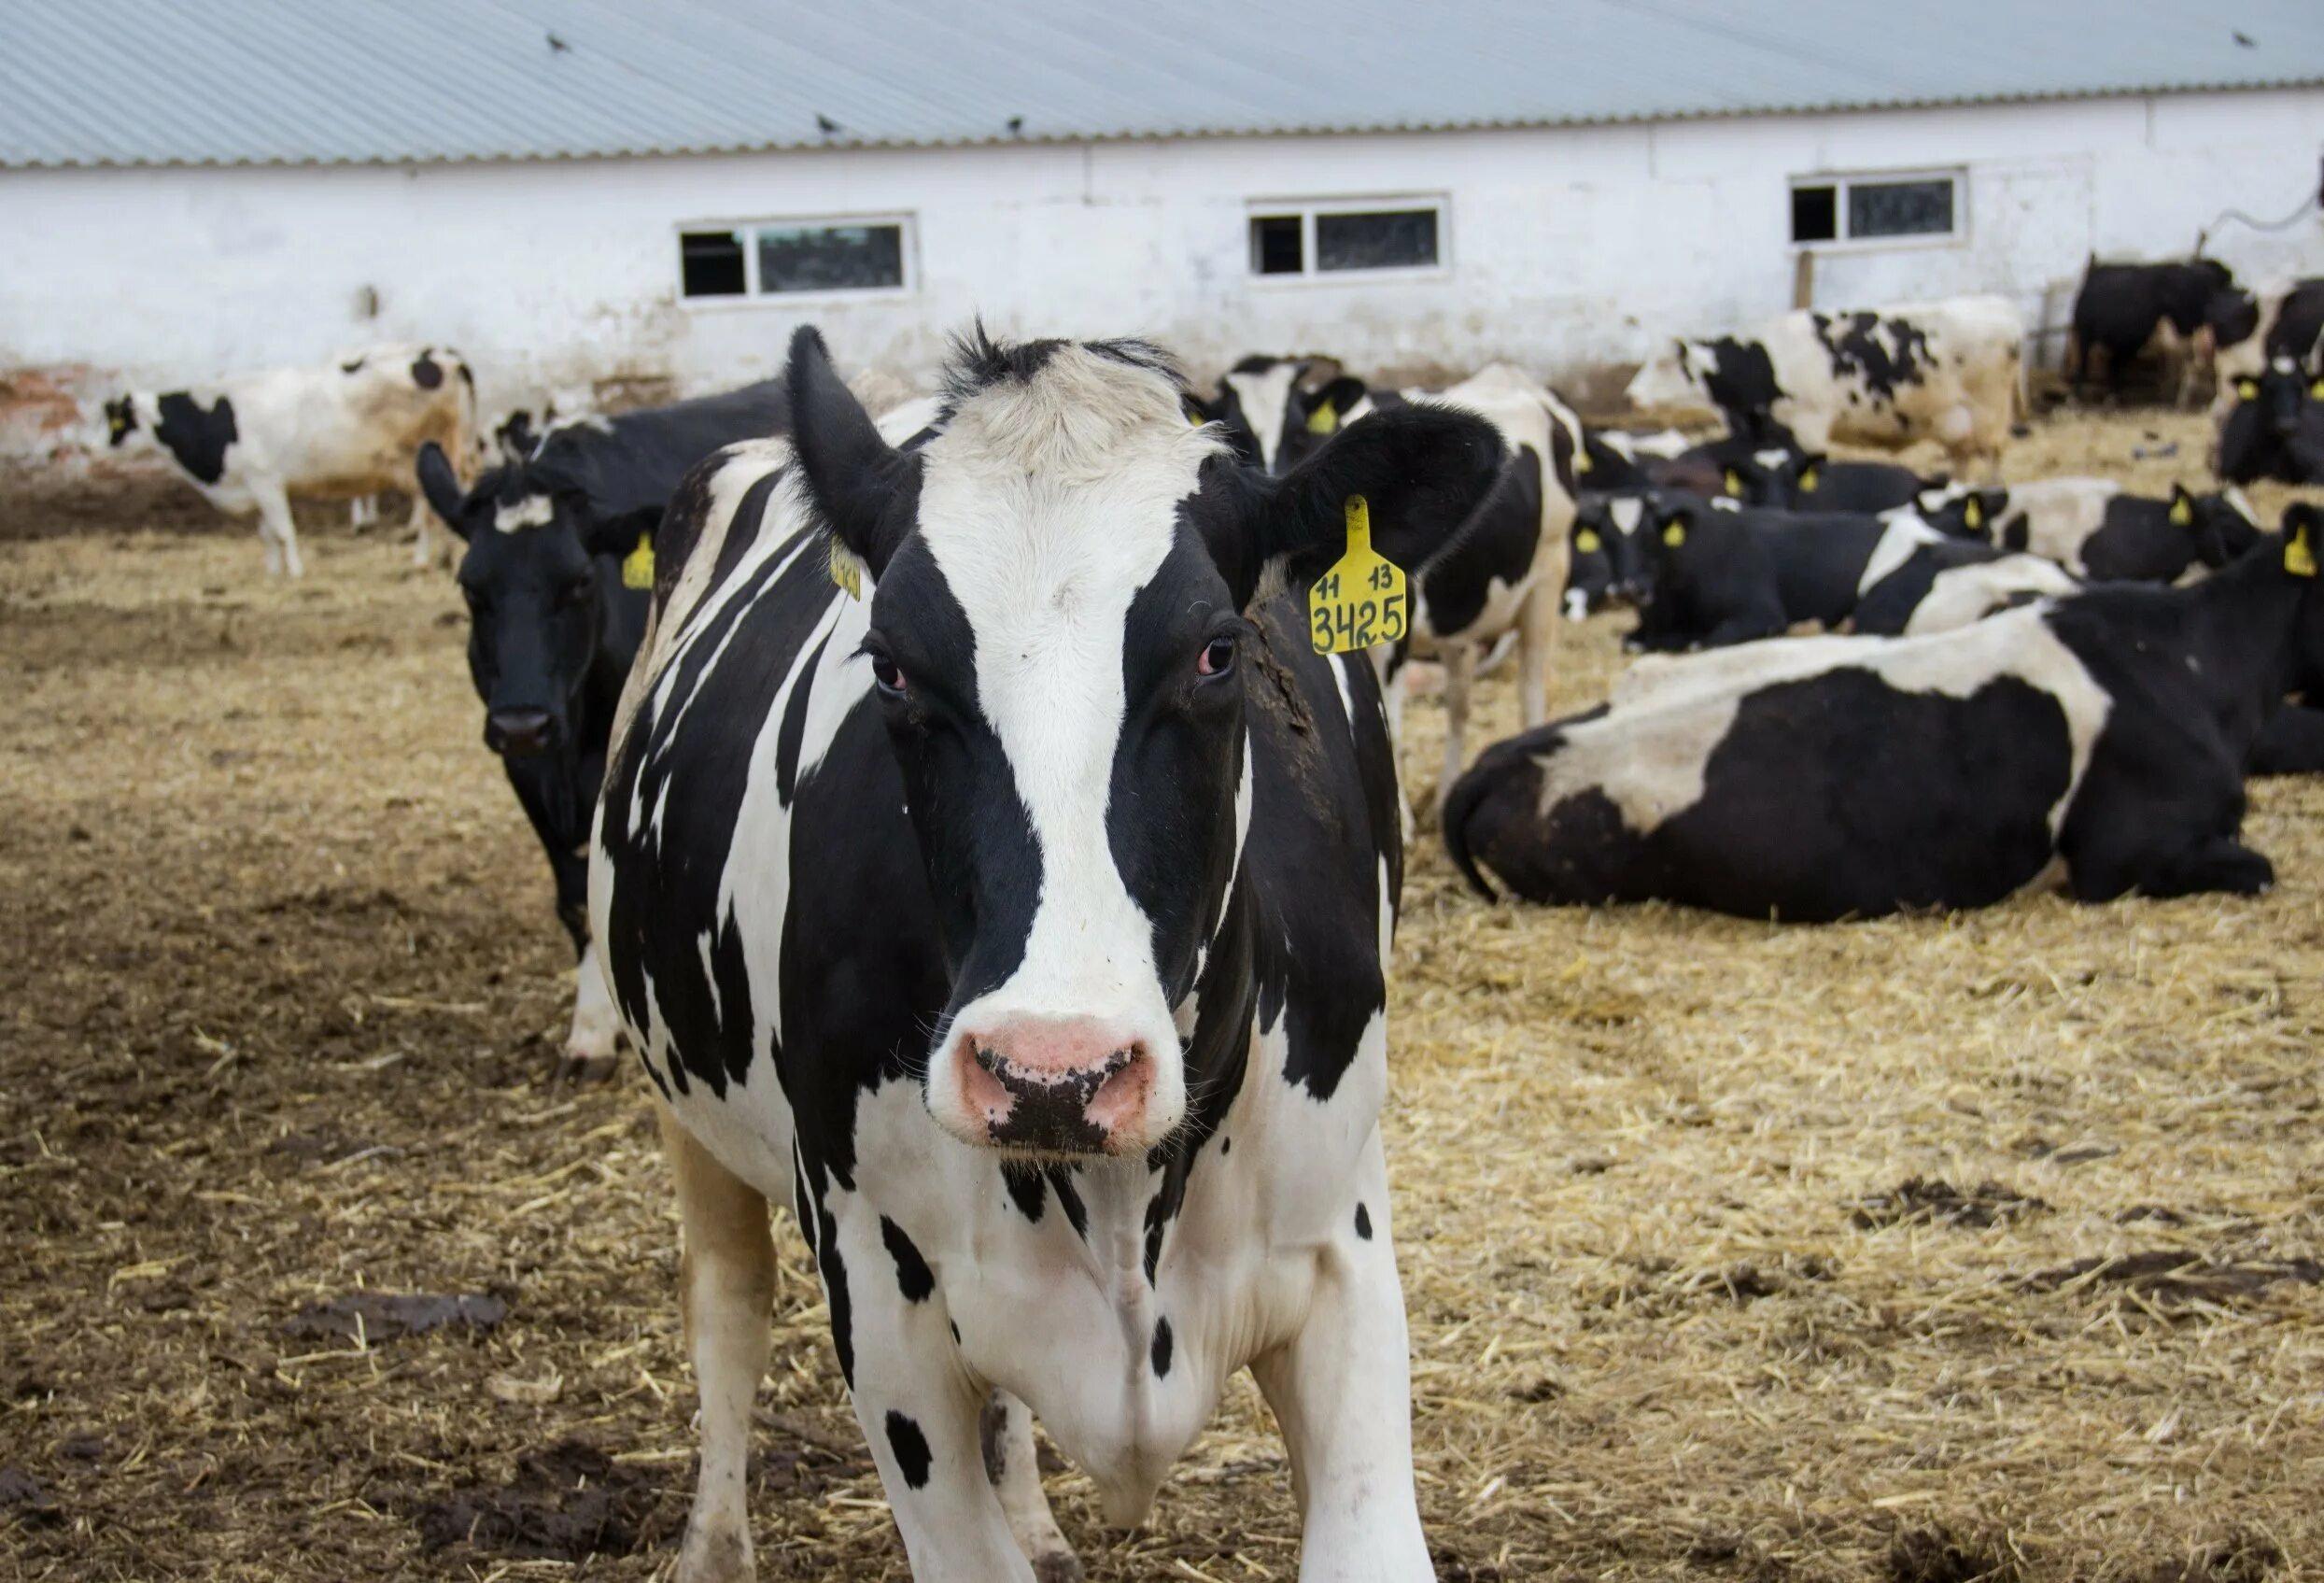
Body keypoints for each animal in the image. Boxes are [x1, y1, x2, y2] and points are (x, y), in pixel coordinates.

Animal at [102, 341, 473, 576]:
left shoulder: (266, 481)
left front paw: (294, 571)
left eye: (118, 424)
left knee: (429, 512)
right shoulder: (257, 487)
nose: (95, 448)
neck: (219, 421)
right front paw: (273, 571)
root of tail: (443, 357)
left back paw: (423, 559)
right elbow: (267, 533)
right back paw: (444, 557)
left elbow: (283, 531)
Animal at [422, 381, 804, 1073]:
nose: (522, 719)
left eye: (577, 581)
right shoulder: (521, 764)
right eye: (470, 588)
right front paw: (591, 1029)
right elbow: (574, 896)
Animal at [1627, 297, 2026, 476]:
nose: (1631, 395)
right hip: (1958, 425)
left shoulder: (1810, 427)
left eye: (1663, 364)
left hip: (1989, 418)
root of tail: (1998, 304)